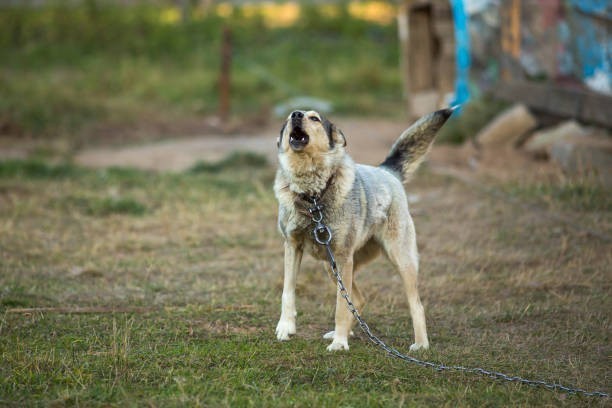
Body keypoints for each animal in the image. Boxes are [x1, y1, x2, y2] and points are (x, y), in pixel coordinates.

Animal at [274, 108, 452, 350]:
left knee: (416, 304)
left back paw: (421, 344)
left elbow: (340, 307)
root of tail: (387, 171)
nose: (296, 114)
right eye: (288, 119)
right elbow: (288, 292)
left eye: (315, 118)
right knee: (358, 299)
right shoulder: (292, 246)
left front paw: (339, 344)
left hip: (399, 260)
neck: (313, 197)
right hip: (331, 266)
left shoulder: (343, 256)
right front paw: (286, 328)